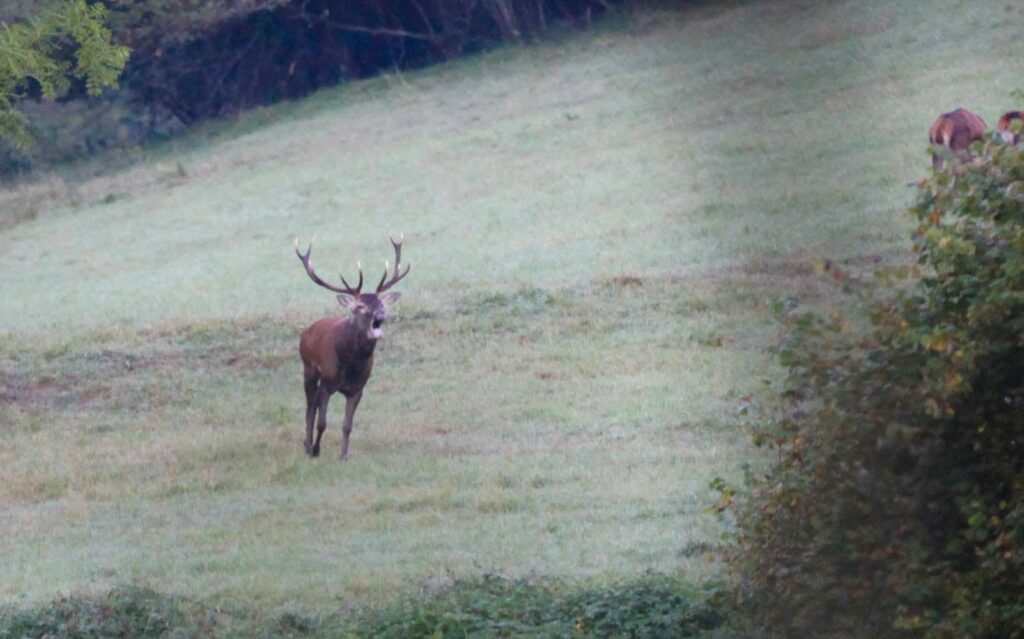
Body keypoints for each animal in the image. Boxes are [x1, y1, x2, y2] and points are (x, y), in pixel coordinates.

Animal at [294, 235, 410, 460]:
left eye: (381, 304)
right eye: (360, 306)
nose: (380, 316)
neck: (351, 364)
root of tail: (306, 332)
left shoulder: (358, 389)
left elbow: (347, 426)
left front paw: (343, 456)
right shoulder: (327, 384)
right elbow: (322, 423)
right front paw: (316, 449)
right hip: (308, 367)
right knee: (310, 408)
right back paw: (307, 446)